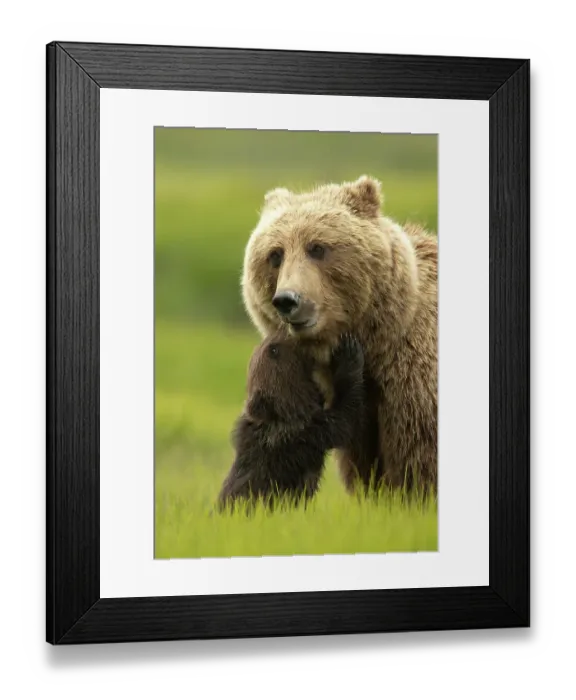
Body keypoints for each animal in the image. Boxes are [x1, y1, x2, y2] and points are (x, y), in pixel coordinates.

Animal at [241, 175, 438, 496]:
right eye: (275, 254)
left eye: (317, 247)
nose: (288, 300)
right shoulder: (364, 414)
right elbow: (365, 469)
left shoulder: (413, 387)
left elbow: (417, 465)